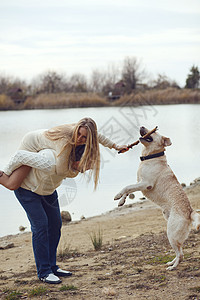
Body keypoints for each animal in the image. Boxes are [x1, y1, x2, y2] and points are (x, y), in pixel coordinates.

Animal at [114, 125, 200, 270]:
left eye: (154, 131)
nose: (142, 126)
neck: (150, 156)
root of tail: (190, 212)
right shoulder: (139, 183)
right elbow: (129, 189)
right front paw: (121, 201)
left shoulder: (145, 184)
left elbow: (127, 187)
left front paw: (118, 195)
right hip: (173, 234)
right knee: (180, 252)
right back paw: (171, 262)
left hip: (171, 233)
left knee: (180, 254)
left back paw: (172, 267)